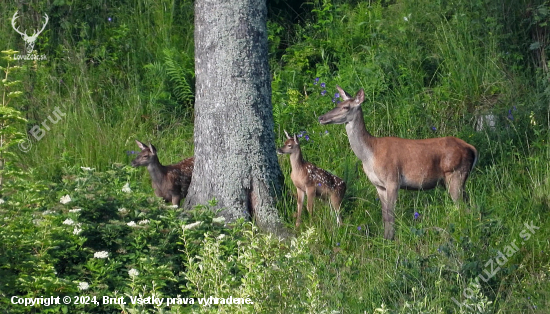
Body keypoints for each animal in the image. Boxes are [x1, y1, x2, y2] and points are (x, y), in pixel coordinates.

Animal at [320, 86, 478, 240]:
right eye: (337, 104)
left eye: (346, 107)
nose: (321, 117)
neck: (370, 155)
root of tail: (471, 148)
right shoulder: (379, 186)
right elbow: (385, 216)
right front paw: (385, 240)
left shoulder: (393, 180)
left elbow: (391, 215)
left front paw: (392, 241)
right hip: (455, 180)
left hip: (455, 174)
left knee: (464, 208)